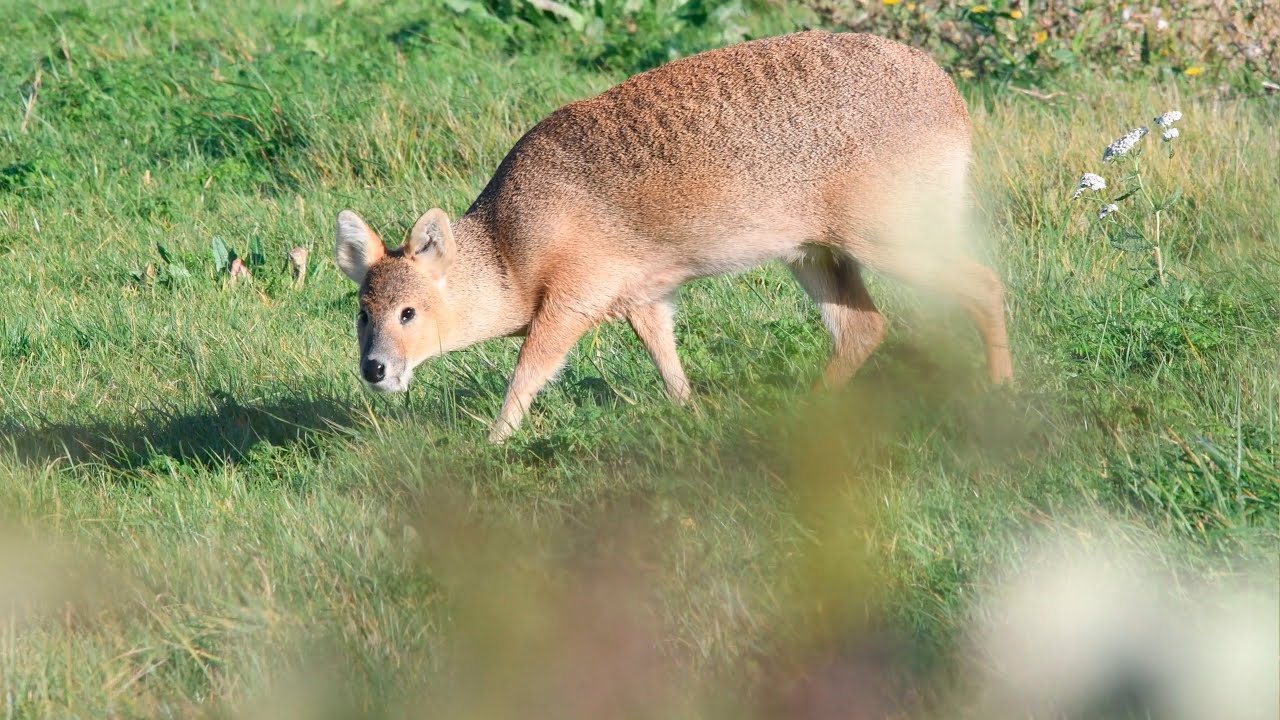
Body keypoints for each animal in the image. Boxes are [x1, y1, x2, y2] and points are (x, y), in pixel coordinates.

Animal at [334, 30, 1013, 443]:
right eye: (362, 312)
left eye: (409, 312)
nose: (373, 369)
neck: (511, 246)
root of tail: (951, 94)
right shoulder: (645, 296)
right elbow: (669, 365)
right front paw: (693, 416)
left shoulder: (575, 298)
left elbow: (526, 373)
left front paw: (494, 441)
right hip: (815, 255)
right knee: (864, 329)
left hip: (892, 239)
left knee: (984, 284)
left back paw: (1002, 392)